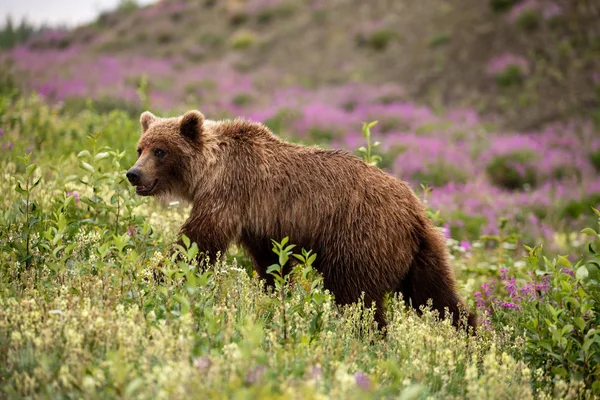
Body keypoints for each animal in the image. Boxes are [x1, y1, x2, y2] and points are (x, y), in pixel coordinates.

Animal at [127, 110, 478, 332]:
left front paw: (155, 277)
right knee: (438, 297)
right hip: (424, 251)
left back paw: (367, 336)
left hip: (361, 237)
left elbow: (197, 242)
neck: (208, 170)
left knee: (358, 296)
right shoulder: (263, 223)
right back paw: (470, 337)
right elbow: (271, 263)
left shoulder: (230, 192)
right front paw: (272, 293)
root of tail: (415, 210)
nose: (133, 174)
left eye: (161, 150)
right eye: (140, 148)